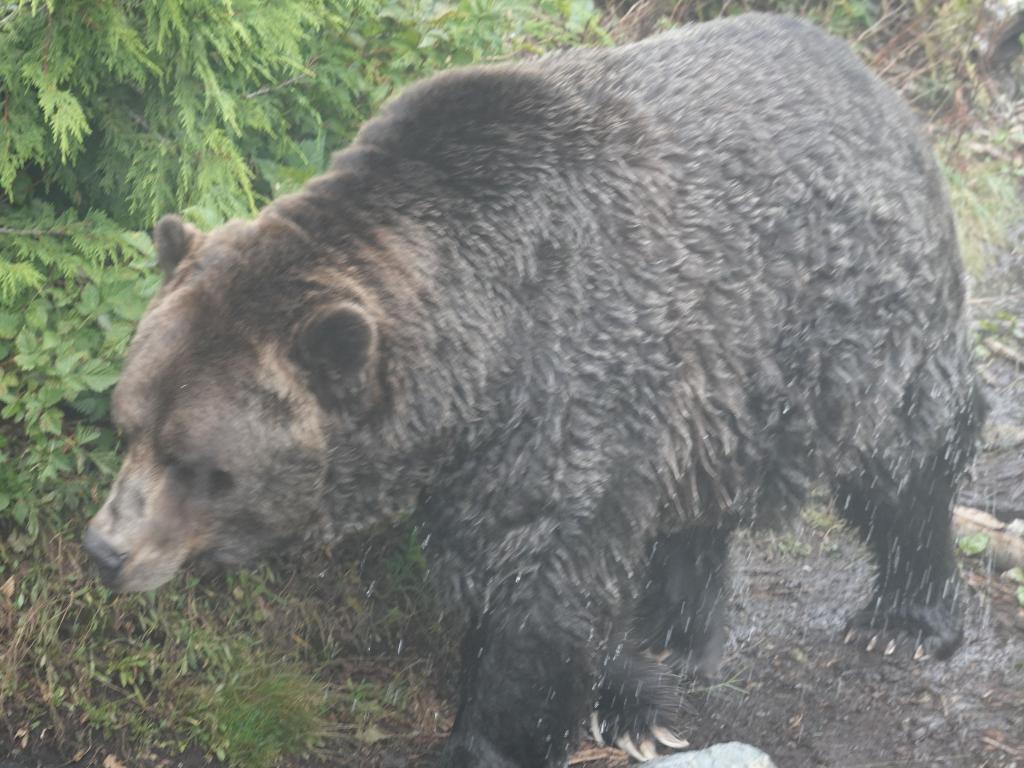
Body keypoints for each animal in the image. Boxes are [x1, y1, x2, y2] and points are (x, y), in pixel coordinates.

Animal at [86, 13, 983, 768]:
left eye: (197, 461)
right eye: (126, 425)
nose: (105, 550)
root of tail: (870, 78)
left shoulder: (568, 395)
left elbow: (540, 593)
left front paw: (489, 737)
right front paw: (623, 695)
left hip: (856, 322)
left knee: (909, 456)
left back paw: (905, 619)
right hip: (734, 373)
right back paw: (672, 635)